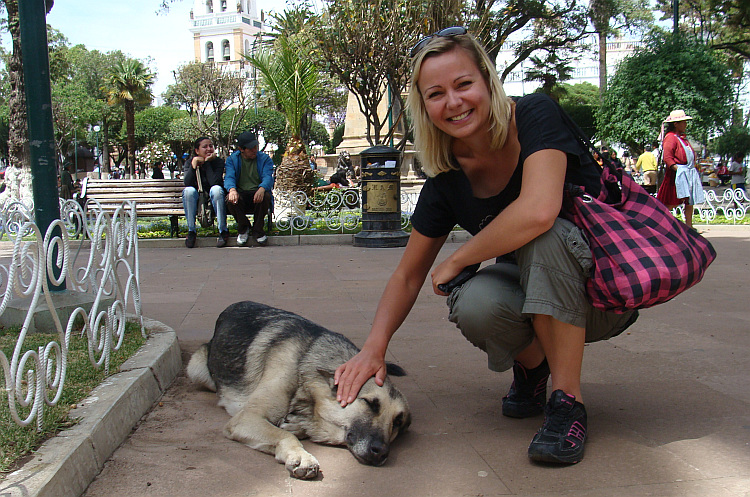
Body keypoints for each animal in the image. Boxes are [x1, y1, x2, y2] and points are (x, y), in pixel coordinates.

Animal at [187, 300, 412, 478]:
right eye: (370, 403)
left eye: (398, 422)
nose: (381, 452)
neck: (303, 363)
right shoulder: (247, 418)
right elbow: (284, 435)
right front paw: (301, 455)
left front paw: (297, 425)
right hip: (196, 368)